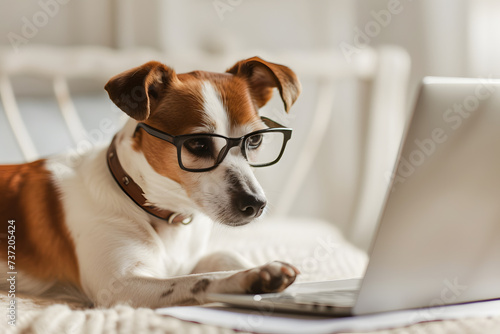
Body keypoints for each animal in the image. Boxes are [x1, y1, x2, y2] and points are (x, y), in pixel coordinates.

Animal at [0, 56, 300, 308]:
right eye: (198, 143)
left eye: (255, 140)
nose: (255, 204)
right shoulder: (120, 286)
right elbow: (200, 280)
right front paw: (251, 276)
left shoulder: (190, 259)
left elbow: (224, 257)